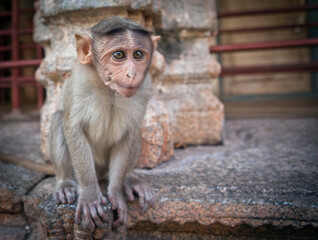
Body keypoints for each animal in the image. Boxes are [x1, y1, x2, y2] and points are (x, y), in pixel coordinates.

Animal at [49, 16, 158, 229]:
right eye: (119, 55)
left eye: (138, 55)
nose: (132, 74)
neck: (110, 90)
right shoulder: (79, 83)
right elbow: (73, 129)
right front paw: (90, 195)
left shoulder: (145, 88)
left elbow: (130, 134)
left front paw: (116, 192)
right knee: (58, 118)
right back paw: (65, 183)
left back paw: (130, 179)